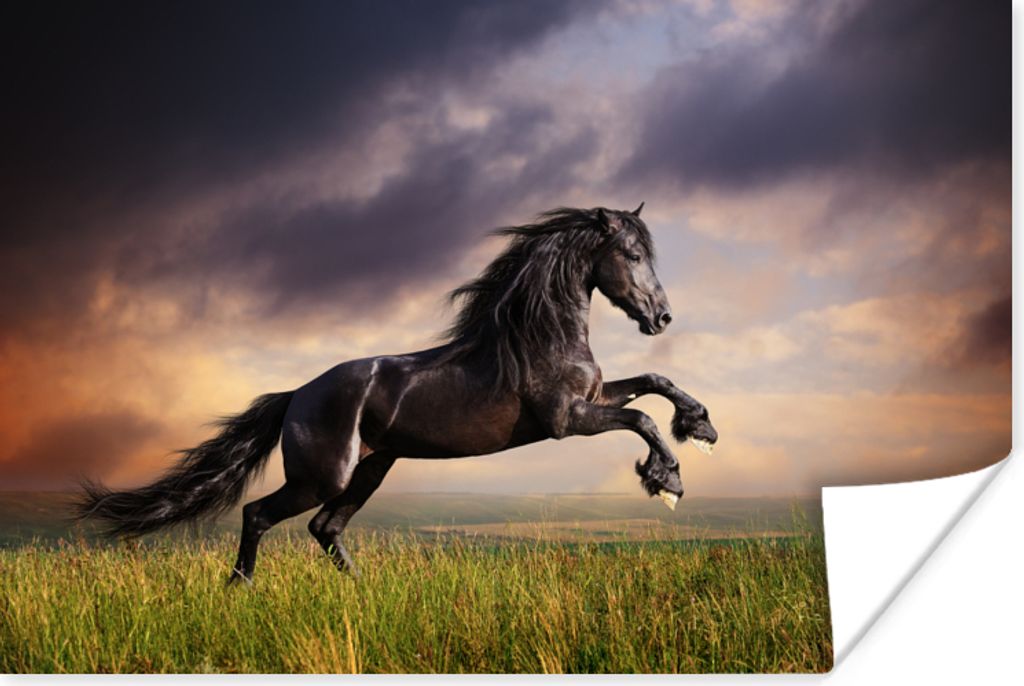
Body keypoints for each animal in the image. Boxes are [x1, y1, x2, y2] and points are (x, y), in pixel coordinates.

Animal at [76, 204, 718, 583]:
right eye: (632, 256)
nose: (662, 318)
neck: (539, 335)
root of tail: (296, 394)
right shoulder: (565, 420)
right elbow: (642, 421)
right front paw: (667, 481)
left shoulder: (594, 397)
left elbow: (654, 385)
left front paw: (702, 428)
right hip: (323, 476)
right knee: (260, 514)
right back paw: (241, 587)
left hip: (371, 468)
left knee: (325, 529)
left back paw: (358, 592)